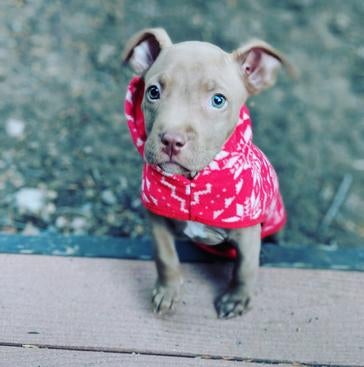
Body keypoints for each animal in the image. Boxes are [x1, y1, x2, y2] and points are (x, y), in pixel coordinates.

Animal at [123, 28, 290, 320]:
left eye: (218, 100)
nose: (171, 140)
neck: (192, 184)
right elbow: (165, 256)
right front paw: (167, 292)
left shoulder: (247, 236)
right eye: (153, 91)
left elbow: (245, 268)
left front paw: (236, 299)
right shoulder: (157, 219)